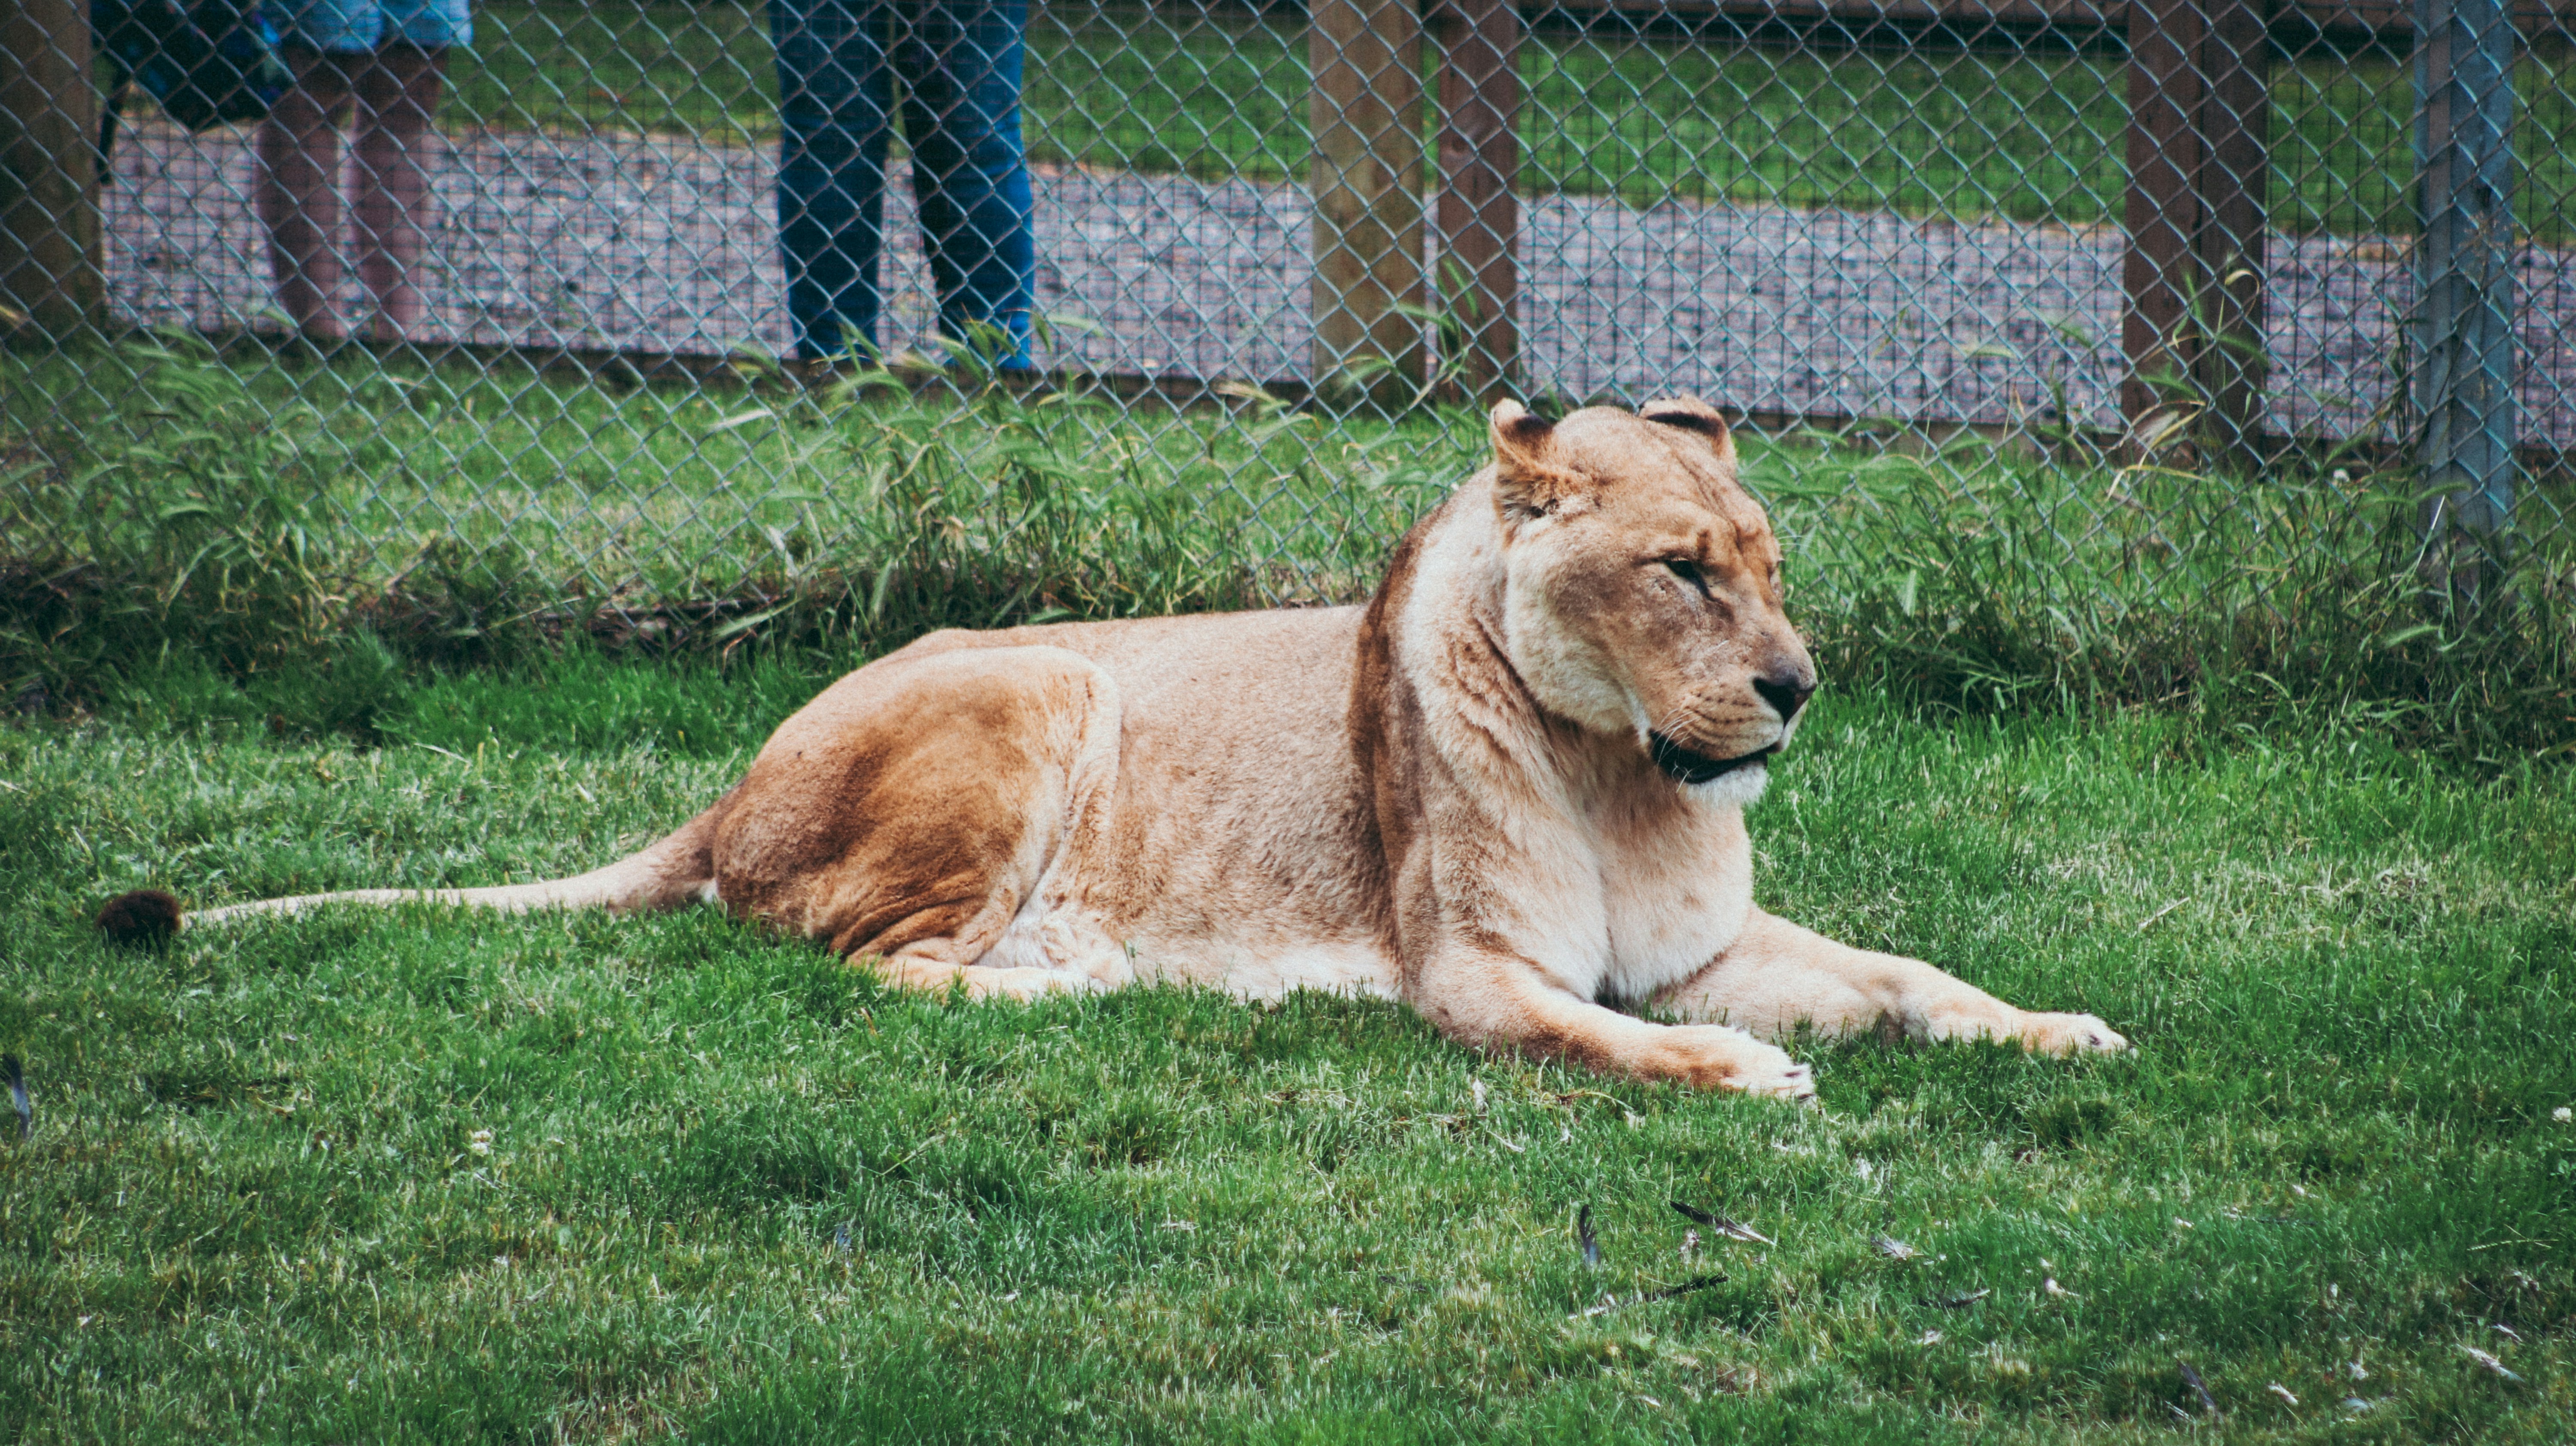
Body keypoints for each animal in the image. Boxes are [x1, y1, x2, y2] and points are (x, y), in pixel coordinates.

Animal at [97, 397, 2127, 1097]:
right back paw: (1082, 986)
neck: (1625, 773)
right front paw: (1750, 1082)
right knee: (860, 963)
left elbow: (1914, 978)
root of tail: (726, 783)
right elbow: (1609, 1041)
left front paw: (2059, 1031)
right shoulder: (1474, 976)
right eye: (1682, 571)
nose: (1794, 687)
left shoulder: (1709, 946)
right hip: (1043, 682)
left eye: (1769, 565)